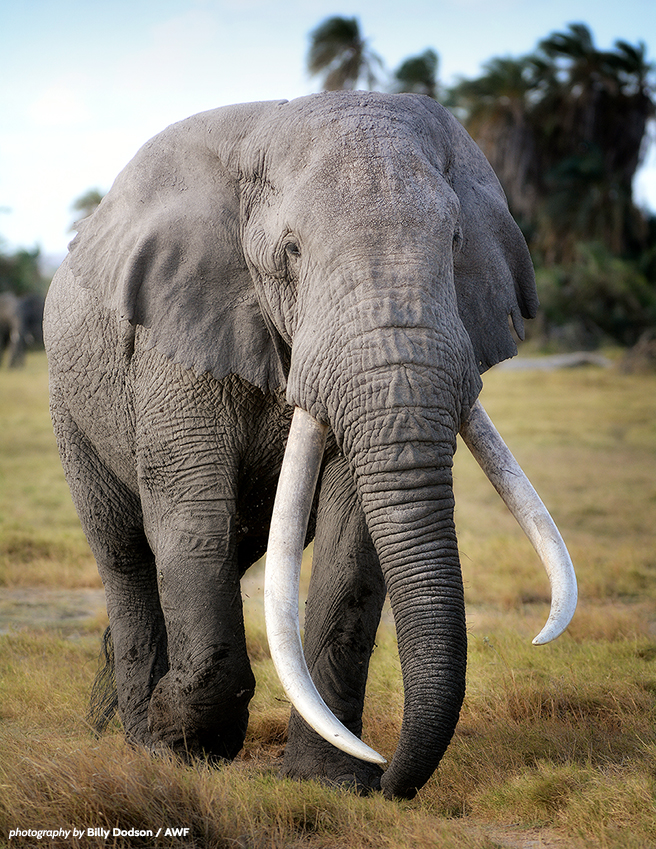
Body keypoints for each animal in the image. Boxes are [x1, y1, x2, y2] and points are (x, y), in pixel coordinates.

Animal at [43, 93, 576, 800]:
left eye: (457, 243)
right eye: (291, 252)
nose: (391, 779)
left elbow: (354, 537)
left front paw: (328, 785)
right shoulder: (174, 335)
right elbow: (191, 517)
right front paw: (179, 743)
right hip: (69, 405)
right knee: (126, 554)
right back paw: (137, 739)